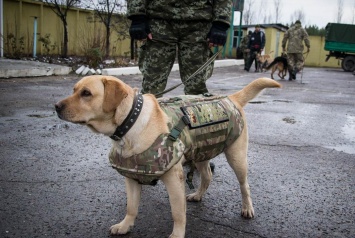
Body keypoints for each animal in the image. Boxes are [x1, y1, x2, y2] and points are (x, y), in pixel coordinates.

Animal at [55, 75, 280, 237]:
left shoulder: (173, 177)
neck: (131, 122)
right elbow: (131, 206)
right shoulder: (131, 177)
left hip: (237, 157)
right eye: (74, 90)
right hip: (200, 152)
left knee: (244, 185)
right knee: (207, 176)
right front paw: (125, 225)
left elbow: (177, 212)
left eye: (86, 93)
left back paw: (247, 208)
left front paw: (177, 234)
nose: (56, 106)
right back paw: (198, 195)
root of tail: (231, 98)